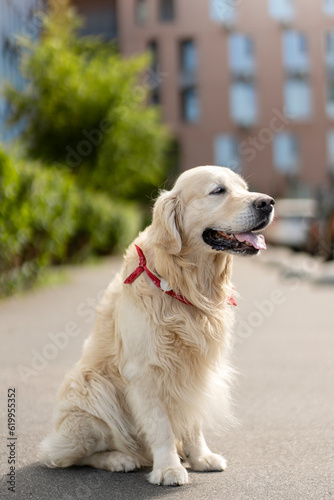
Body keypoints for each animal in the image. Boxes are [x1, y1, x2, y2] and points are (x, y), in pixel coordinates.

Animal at [39, 167, 274, 484]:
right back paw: (120, 459)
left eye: (244, 188)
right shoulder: (145, 371)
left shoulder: (194, 369)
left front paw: (201, 457)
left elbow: (192, 420)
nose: (268, 203)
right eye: (218, 190)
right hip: (92, 387)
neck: (184, 284)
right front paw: (168, 468)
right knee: (66, 456)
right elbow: (160, 426)